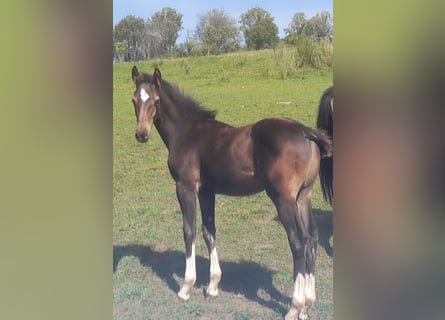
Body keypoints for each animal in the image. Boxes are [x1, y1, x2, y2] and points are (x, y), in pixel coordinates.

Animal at [130, 66, 332, 318]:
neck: (187, 132)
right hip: (303, 197)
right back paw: (307, 305)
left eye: (156, 101)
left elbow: (189, 231)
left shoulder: (185, 187)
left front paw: (186, 288)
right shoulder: (207, 191)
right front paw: (213, 287)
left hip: (283, 199)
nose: (141, 134)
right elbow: (209, 231)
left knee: (298, 242)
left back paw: (295, 307)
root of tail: (305, 131)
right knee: (312, 237)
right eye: (134, 99)